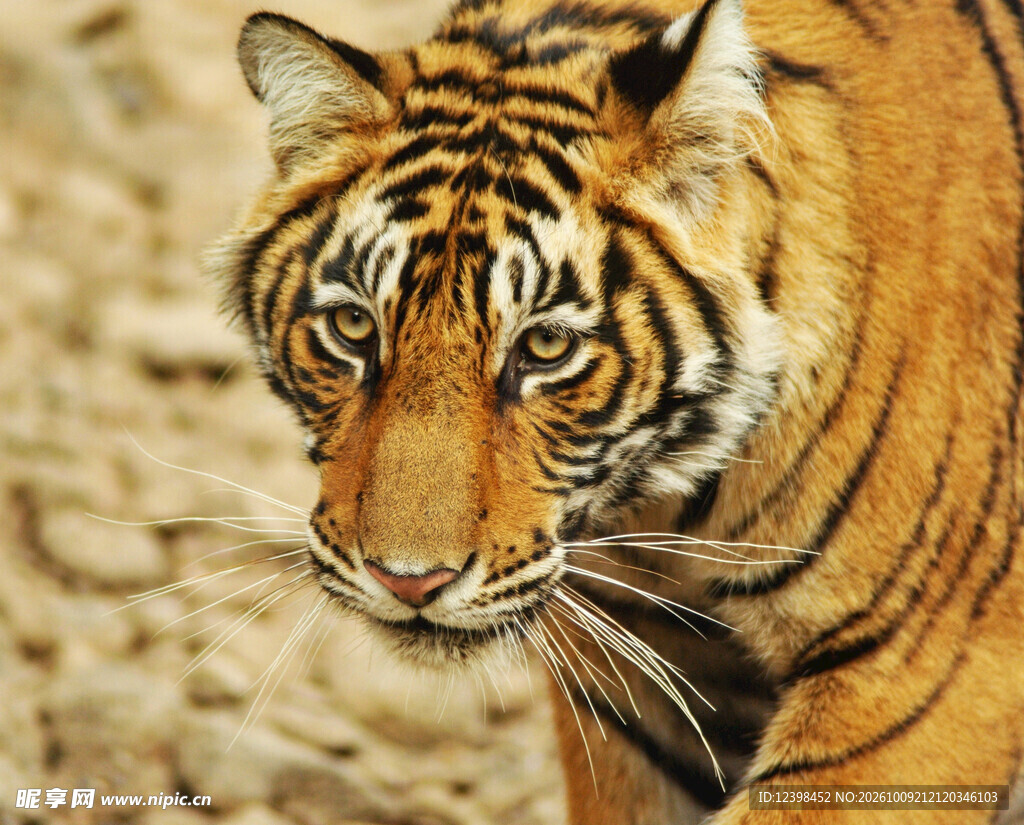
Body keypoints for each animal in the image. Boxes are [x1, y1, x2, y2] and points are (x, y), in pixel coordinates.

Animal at [204, 0, 1024, 821]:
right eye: (353, 327)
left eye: (546, 345)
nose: (408, 583)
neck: (669, 509)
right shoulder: (634, 680)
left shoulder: (916, 675)